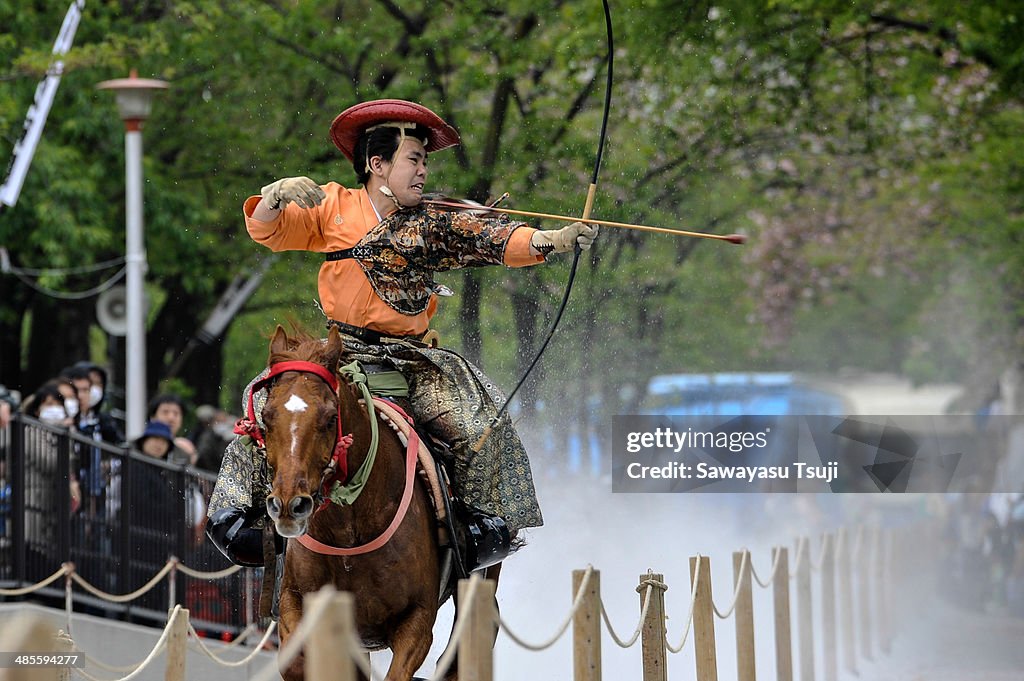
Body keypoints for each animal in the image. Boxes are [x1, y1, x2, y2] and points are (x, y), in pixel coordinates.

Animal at [260, 327, 499, 675]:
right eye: (266, 417)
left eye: (330, 418)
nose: (290, 505)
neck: (350, 530)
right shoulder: (296, 603)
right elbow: (295, 658)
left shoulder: (416, 622)